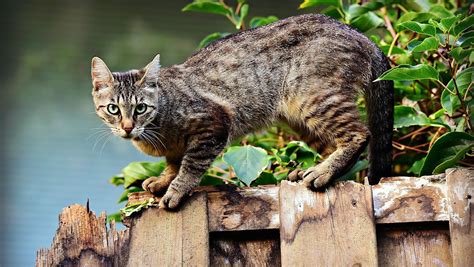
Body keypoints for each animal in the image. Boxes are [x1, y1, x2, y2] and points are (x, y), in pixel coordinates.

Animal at [91, 14, 392, 211]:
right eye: (113, 109)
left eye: (140, 108)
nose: (127, 127)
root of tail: (361, 35)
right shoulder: (176, 148)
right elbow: (174, 162)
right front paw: (164, 180)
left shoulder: (213, 125)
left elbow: (190, 165)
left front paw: (176, 189)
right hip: (298, 117)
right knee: (333, 143)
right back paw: (312, 169)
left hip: (313, 98)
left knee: (359, 134)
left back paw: (322, 172)